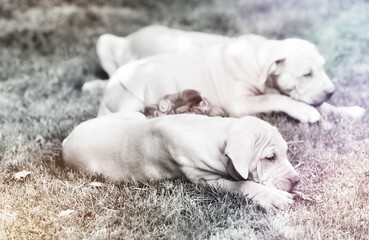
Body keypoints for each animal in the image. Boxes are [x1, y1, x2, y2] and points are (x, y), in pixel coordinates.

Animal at [62, 112, 300, 210]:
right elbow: (242, 184)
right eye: (270, 158)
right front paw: (273, 197)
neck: (215, 134)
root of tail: (65, 141)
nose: (297, 181)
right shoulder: (207, 180)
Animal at [93, 25, 364, 122]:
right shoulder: (241, 103)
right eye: (307, 74)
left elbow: (317, 103)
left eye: (323, 67)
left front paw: (346, 110)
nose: (332, 91)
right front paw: (305, 111)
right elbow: (274, 98)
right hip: (154, 71)